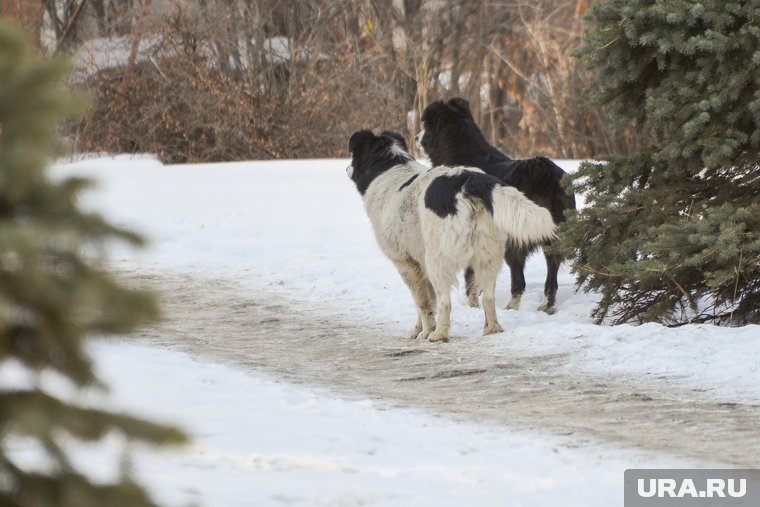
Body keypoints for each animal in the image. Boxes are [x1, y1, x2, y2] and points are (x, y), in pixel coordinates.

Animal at [348, 131, 556, 344]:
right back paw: (491, 329)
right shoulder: (420, 265)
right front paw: (418, 330)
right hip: (487, 256)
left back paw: (439, 334)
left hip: (438, 260)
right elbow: (424, 303)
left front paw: (425, 332)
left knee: (445, 301)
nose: (347, 168)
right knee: (488, 297)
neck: (390, 168)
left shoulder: (406, 264)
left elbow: (423, 303)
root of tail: (467, 179)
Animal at [416, 97, 576, 316]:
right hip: (554, 234)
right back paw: (547, 305)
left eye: (425, 125)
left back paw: (511, 306)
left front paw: (472, 302)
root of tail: (544, 173)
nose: (416, 137)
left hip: (514, 236)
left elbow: (470, 273)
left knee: (518, 278)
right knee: (552, 271)